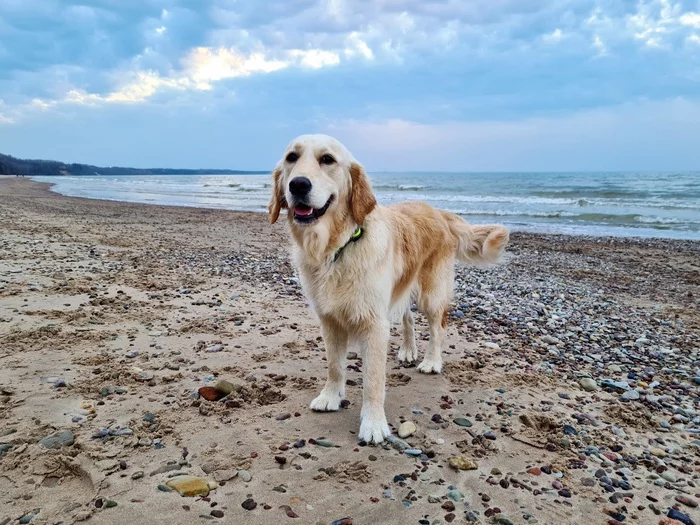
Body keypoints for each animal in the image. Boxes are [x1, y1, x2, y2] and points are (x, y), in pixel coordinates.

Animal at [268, 134, 508, 442]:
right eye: (292, 158)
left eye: (327, 159)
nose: (298, 184)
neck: (337, 248)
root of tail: (437, 210)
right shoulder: (329, 320)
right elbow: (334, 365)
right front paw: (330, 396)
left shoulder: (374, 324)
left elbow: (373, 381)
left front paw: (373, 424)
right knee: (408, 318)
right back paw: (408, 350)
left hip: (431, 293)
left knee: (438, 327)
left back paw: (431, 361)